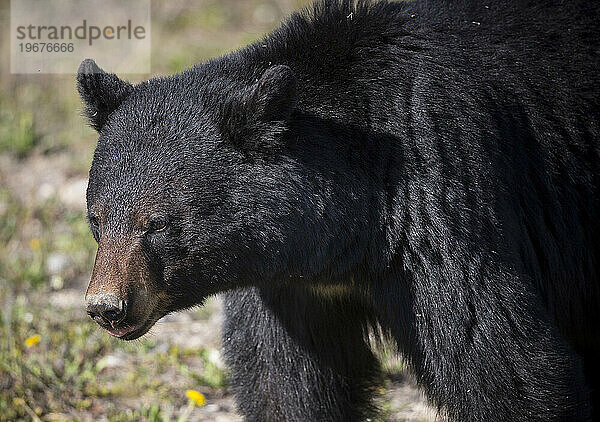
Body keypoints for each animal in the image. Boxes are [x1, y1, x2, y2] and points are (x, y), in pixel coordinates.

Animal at [78, 0, 600, 420]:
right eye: (97, 219)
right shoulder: (287, 288)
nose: (107, 306)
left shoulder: (444, 202)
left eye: (158, 223)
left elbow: (501, 363)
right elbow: (286, 382)